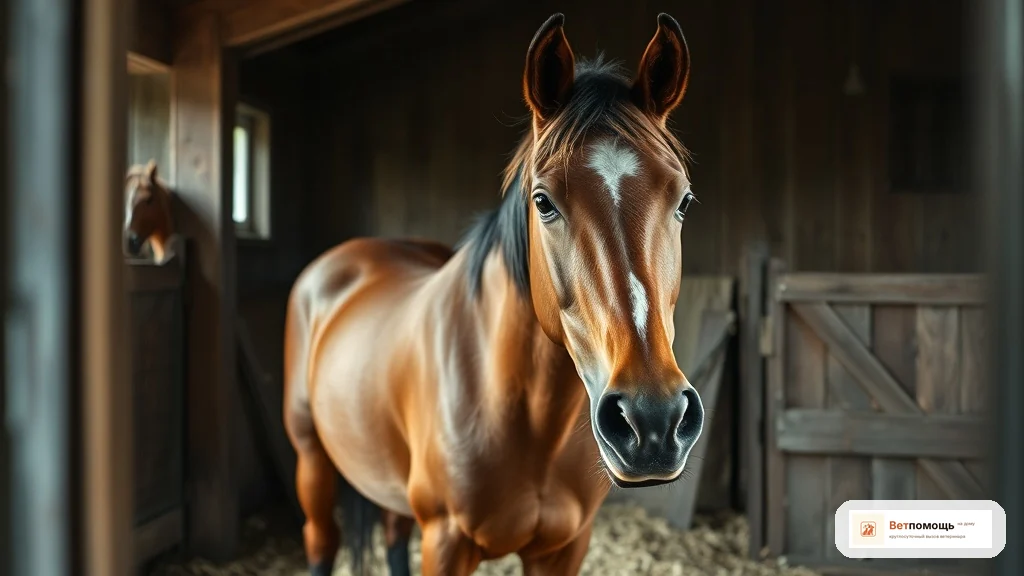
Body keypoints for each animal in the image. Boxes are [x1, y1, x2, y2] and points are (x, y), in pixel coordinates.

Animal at [284, 12, 703, 575]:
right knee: (321, 541)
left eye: (683, 200)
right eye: (543, 202)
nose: (653, 419)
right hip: (311, 458)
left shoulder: (565, 548)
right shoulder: (445, 541)